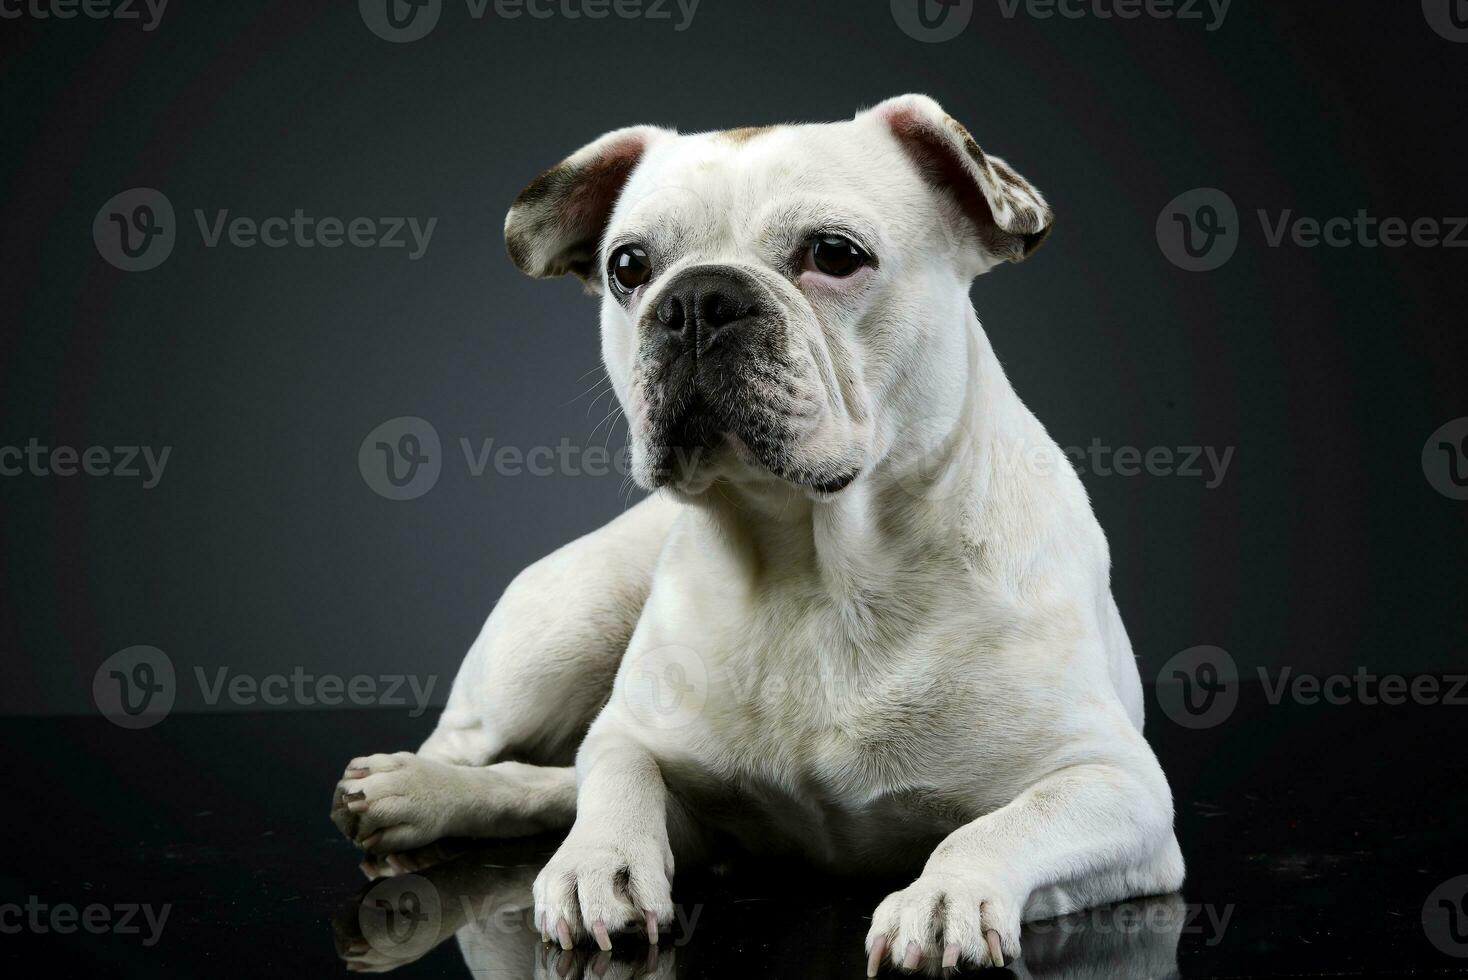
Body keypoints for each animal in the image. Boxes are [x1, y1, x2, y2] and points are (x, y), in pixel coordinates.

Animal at [330, 93, 1180, 974]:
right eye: (627, 266)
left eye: (835, 254)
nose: (696, 298)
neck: (817, 572)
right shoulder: (655, 759)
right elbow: (617, 774)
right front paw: (598, 864)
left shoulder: (1116, 787)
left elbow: (999, 826)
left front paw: (946, 897)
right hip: (563, 630)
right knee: (494, 751)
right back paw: (415, 789)